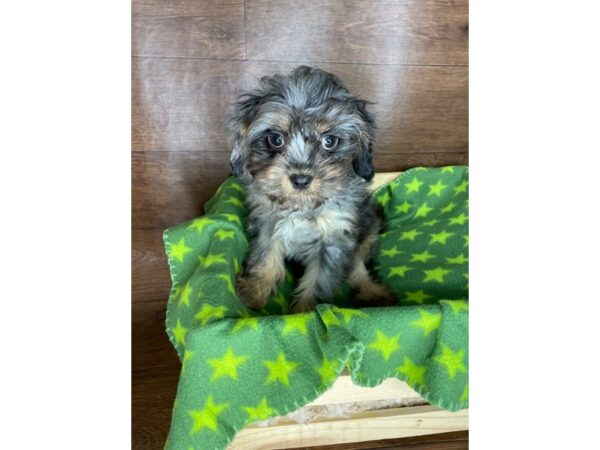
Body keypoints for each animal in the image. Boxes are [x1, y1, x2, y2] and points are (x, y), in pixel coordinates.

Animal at [227, 66, 392, 312]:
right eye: (276, 139)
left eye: (329, 141)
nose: (301, 180)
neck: (302, 207)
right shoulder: (268, 225)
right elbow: (265, 258)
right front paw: (254, 292)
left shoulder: (333, 240)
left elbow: (317, 283)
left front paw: (303, 314)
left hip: (369, 230)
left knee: (357, 265)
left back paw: (372, 291)